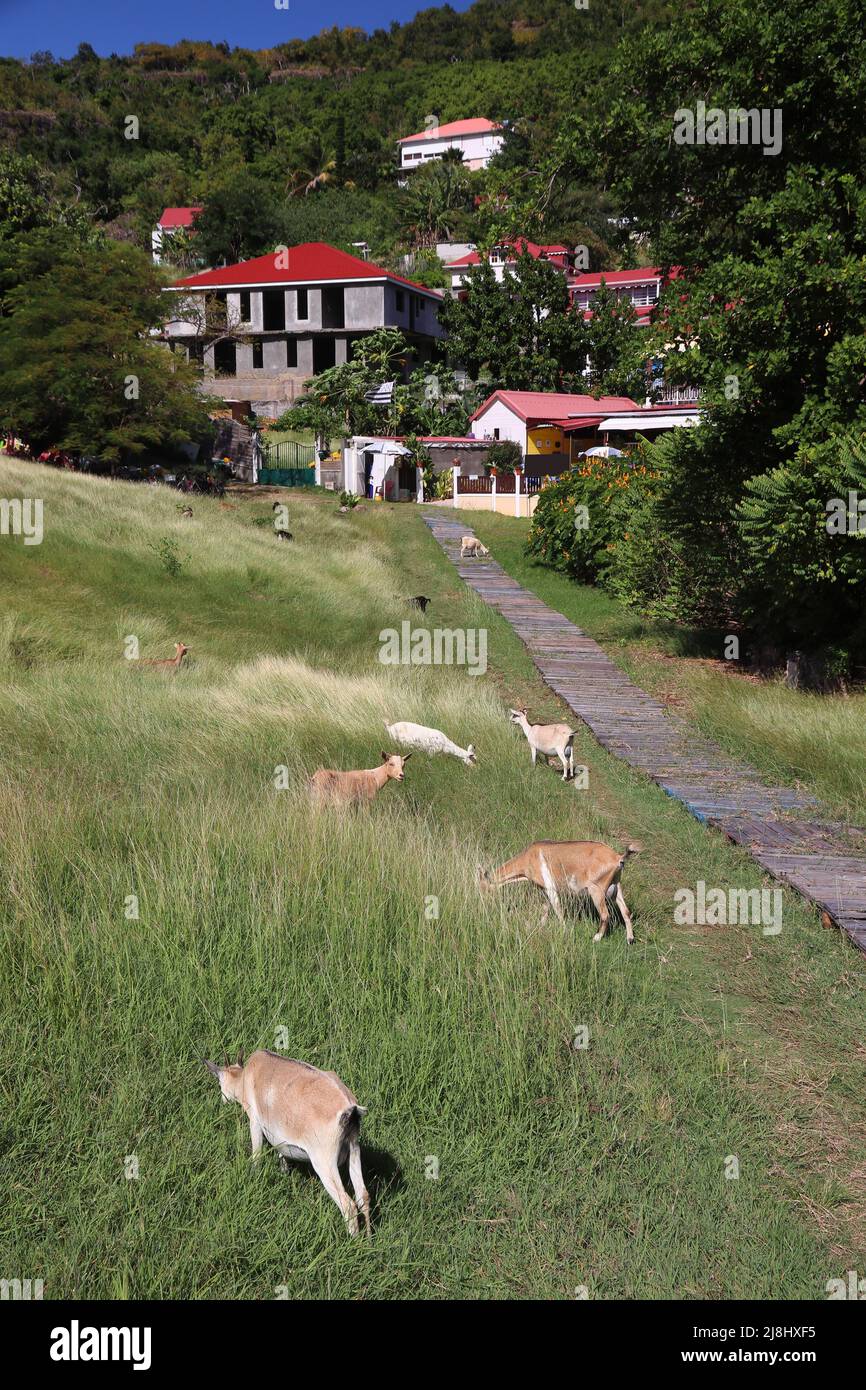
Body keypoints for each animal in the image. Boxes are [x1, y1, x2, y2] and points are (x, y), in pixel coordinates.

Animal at [202, 1045, 369, 1234]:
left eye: (219, 1083)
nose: (223, 1100)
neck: (244, 1078)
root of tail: (350, 1109)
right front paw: (283, 1172)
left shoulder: (255, 1121)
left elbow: (256, 1154)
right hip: (354, 1147)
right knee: (363, 1196)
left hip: (324, 1161)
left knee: (348, 1204)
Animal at [480, 834, 644, 945]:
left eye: (483, 888)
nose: (484, 904)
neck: (528, 858)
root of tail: (618, 858)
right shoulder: (544, 889)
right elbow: (545, 908)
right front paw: (541, 925)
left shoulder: (551, 888)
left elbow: (558, 909)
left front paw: (564, 931)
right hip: (617, 887)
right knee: (626, 912)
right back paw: (630, 939)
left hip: (596, 890)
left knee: (605, 915)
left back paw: (596, 938)